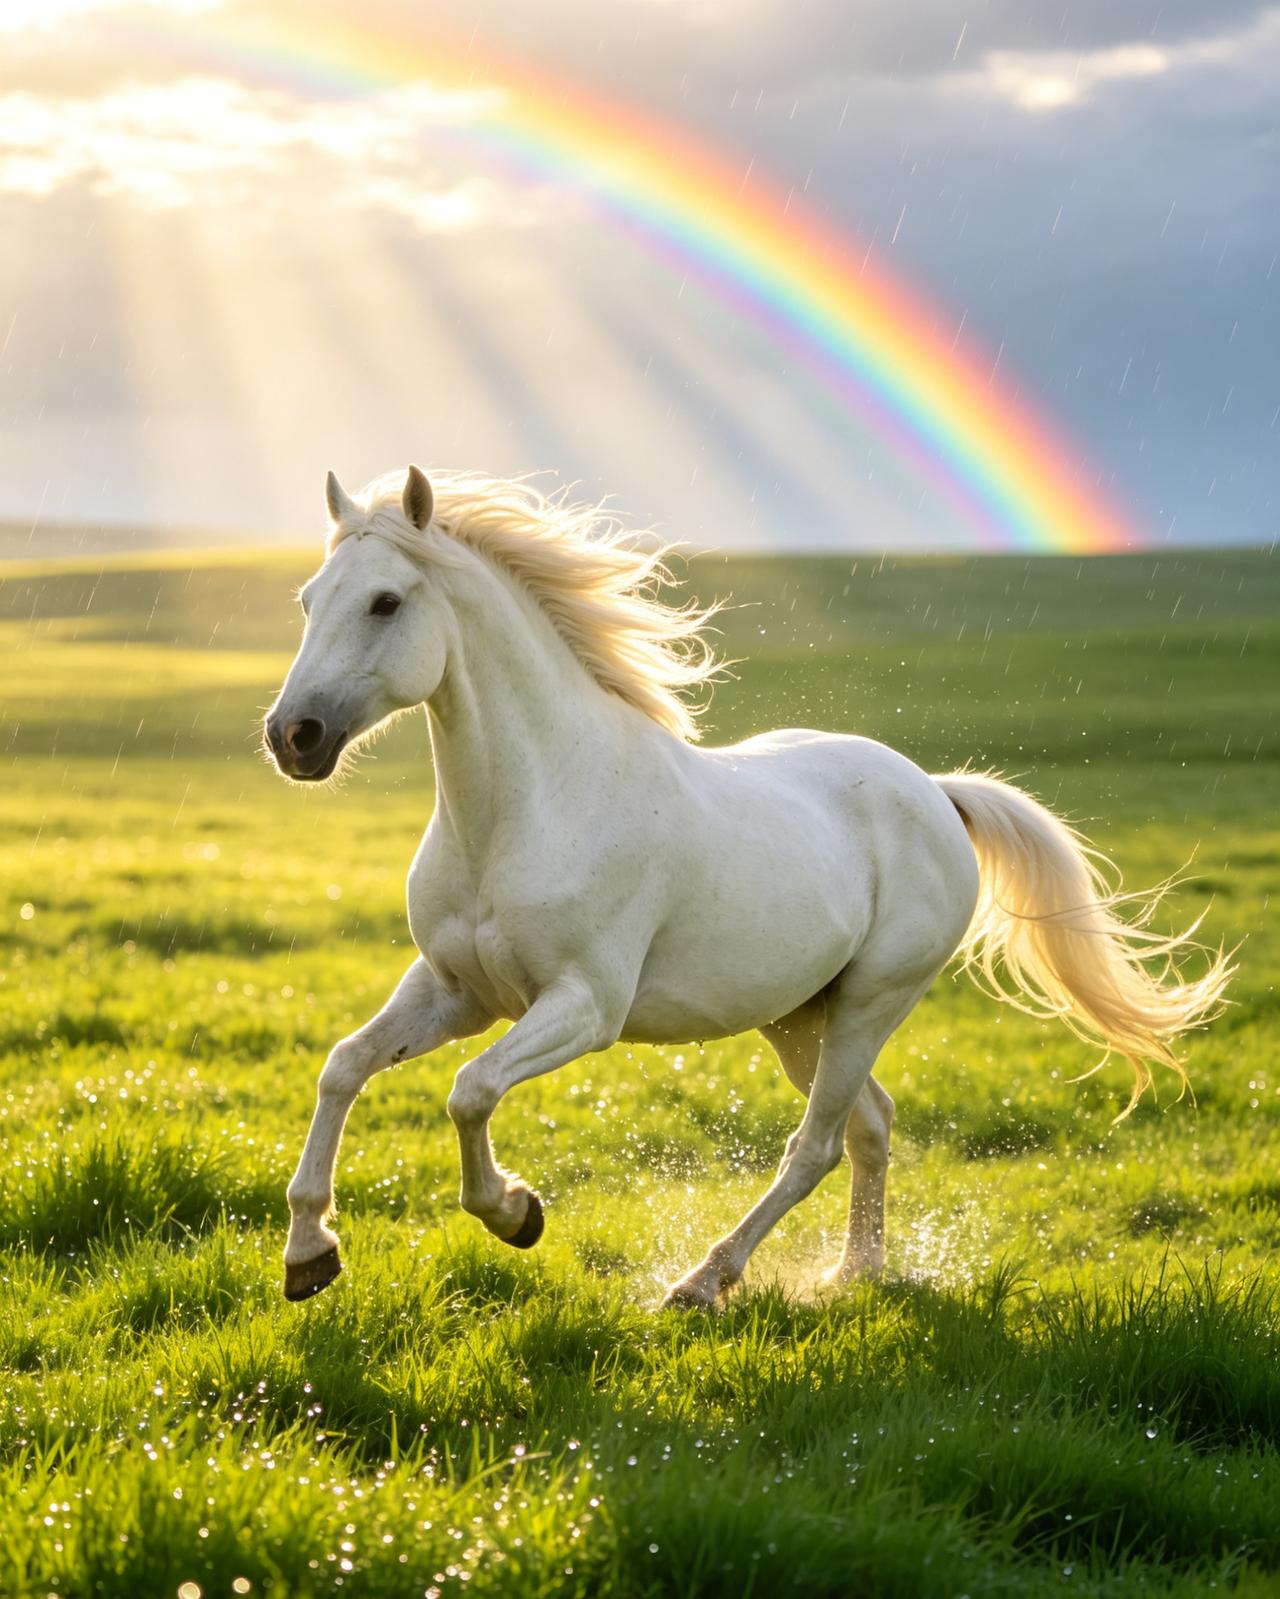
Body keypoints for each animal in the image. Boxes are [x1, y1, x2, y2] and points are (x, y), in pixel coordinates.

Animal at [264, 466, 1229, 1308]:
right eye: (307, 600)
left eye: (386, 602)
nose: (292, 737)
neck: (524, 809)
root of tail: (936, 791)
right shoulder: (456, 990)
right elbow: (343, 1065)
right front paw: (309, 1254)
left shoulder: (584, 1005)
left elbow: (469, 1090)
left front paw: (516, 1213)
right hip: (798, 1015)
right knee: (870, 1123)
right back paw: (854, 1274)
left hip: (873, 1000)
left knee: (817, 1145)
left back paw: (702, 1282)